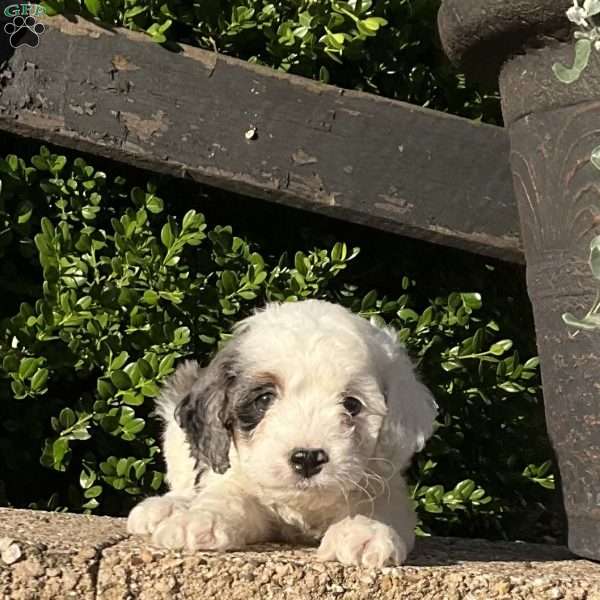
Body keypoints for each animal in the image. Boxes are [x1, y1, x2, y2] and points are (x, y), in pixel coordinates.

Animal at [126, 300, 436, 568]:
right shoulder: (236, 477)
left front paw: (363, 531)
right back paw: (170, 506)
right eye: (264, 399)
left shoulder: (387, 485)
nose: (308, 458)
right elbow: (227, 495)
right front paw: (199, 520)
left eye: (352, 404)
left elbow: (379, 503)